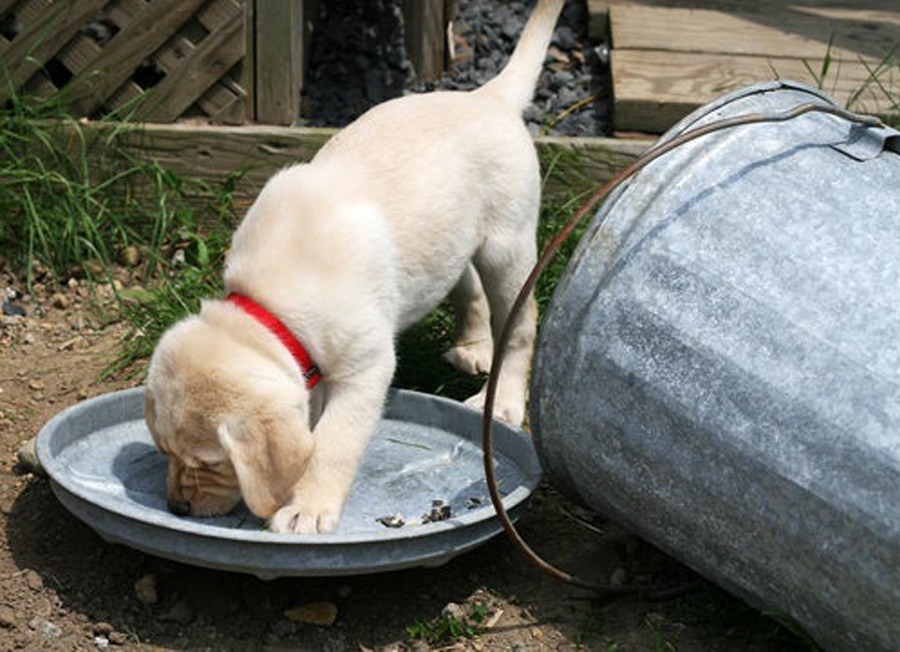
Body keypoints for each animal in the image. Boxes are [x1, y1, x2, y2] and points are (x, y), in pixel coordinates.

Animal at [144, 0, 568, 532]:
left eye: (208, 462)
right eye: (163, 452)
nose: (176, 508)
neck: (269, 303)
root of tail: (486, 98)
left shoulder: (366, 367)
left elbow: (332, 442)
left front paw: (306, 507)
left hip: (507, 244)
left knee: (520, 323)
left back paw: (506, 400)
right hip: (449, 239)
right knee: (465, 283)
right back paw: (472, 345)